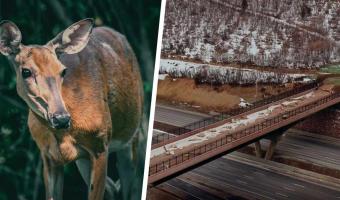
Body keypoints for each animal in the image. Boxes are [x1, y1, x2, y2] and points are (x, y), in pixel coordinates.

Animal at [0, 18, 143, 199]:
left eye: (63, 71)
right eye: (26, 71)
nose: (61, 118)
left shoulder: (101, 144)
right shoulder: (48, 155)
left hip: (131, 138)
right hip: (83, 160)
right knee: (112, 188)